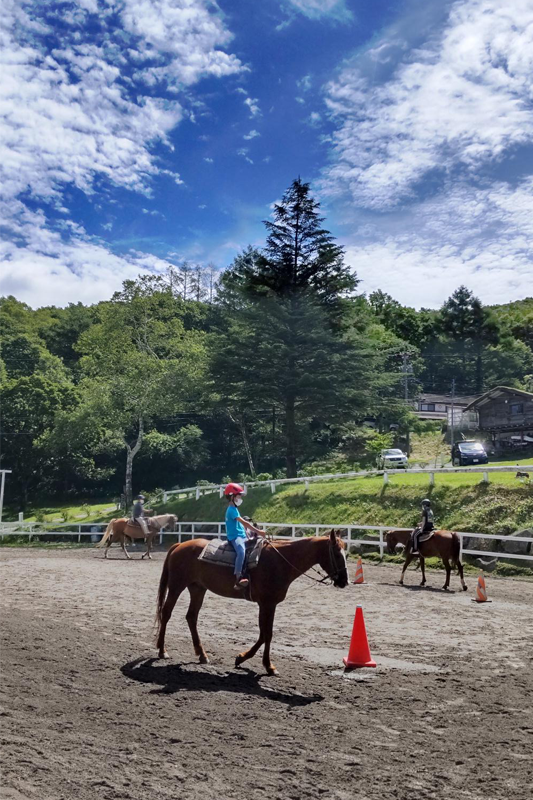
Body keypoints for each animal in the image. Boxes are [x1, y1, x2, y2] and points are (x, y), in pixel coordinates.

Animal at [155, 532, 344, 676]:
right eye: (336, 553)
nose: (344, 581)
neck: (280, 561)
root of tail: (179, 545)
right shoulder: (267, 604)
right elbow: (267, 634)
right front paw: (268, 666)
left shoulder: (268, 604)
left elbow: (264, 634)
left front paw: (242, 658)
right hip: (176, 586)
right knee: (166, 613)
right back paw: (162, 651)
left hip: (198, 589)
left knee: (191, 617)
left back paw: (202, 655)